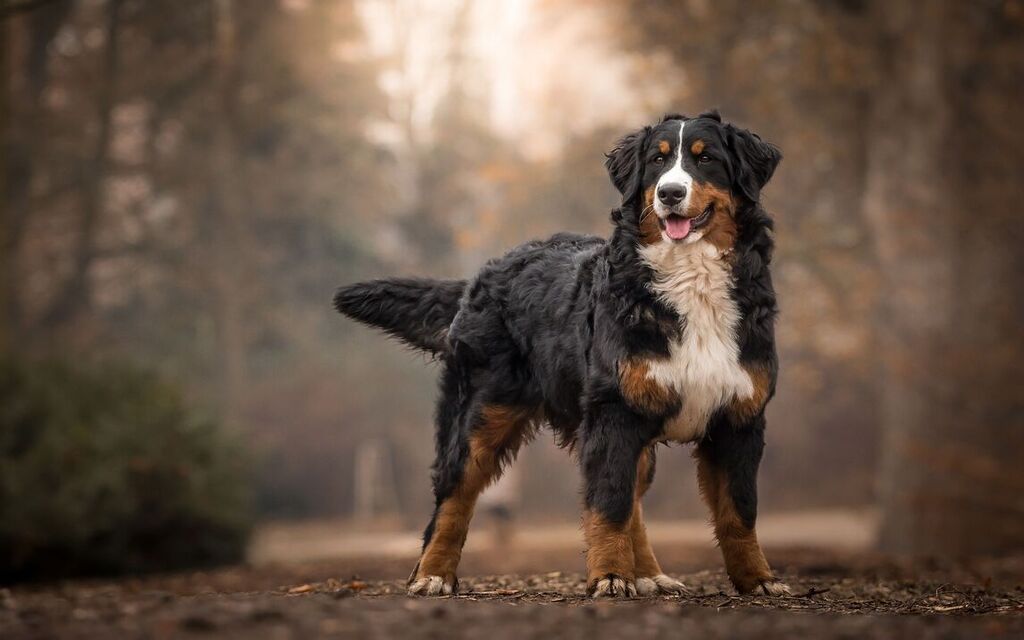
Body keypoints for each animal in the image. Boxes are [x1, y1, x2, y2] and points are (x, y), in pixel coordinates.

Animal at [335, 112, 790, 598]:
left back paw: (649, 573)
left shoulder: (739, 417)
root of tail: (483, 275)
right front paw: (610, 577)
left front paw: (758, 580)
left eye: (707, 160)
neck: (691, 281)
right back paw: (433, 573)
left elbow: (739, 512)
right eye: (657, 161)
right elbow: (608, 505)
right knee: (453, 497)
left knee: (634, 501)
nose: (669, 193)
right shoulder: (613, 413)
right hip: (479, 415)